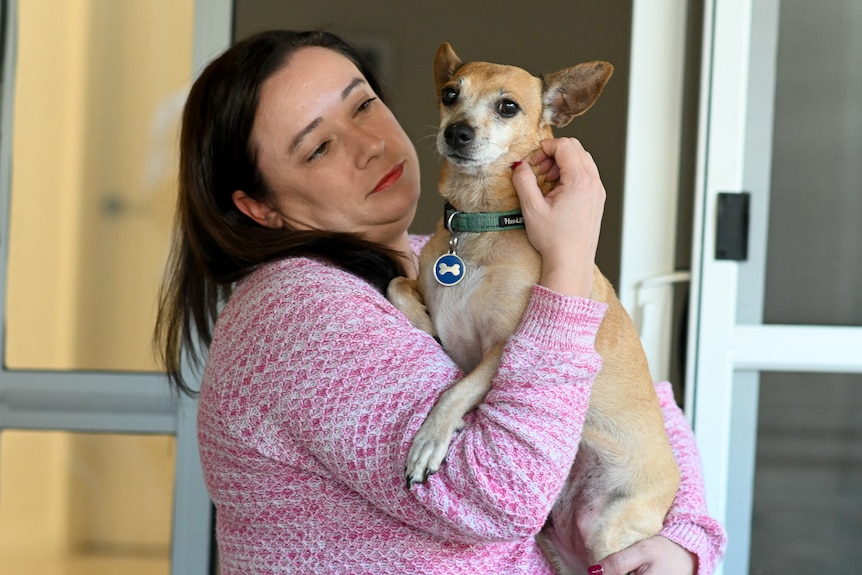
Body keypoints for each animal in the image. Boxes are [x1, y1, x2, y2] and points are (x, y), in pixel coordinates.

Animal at [390, 44, 680, 572]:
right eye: (450, 94)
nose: (456, 132)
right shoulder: (420, 284)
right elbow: (398, 282)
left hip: (613, 532)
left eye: (508, 107)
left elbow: (459, 389)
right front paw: (421, 318)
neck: (479, 222)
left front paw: (430, 439)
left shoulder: (505, 346)